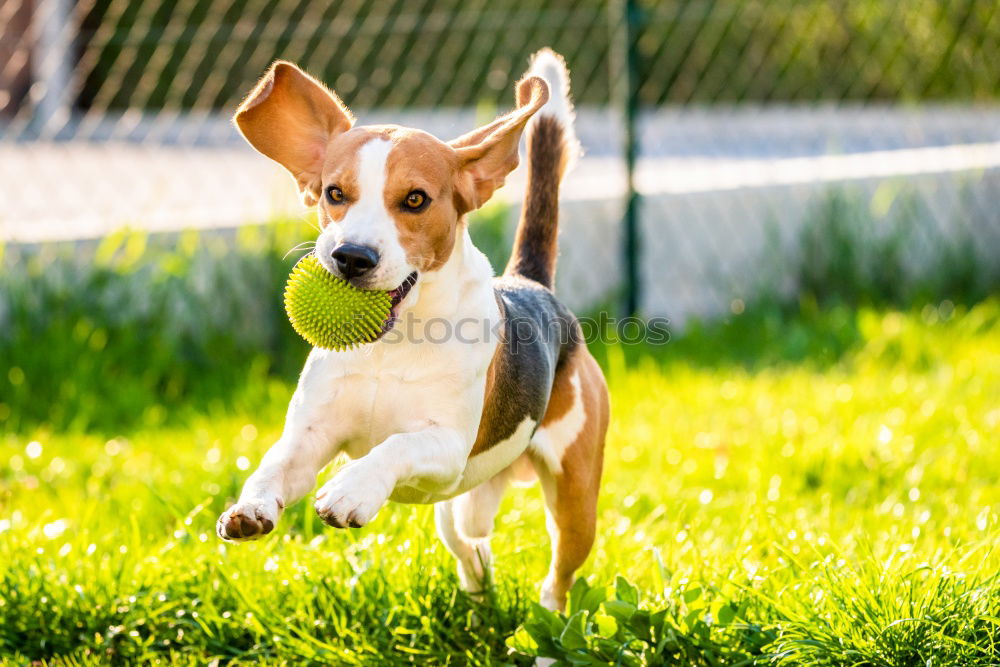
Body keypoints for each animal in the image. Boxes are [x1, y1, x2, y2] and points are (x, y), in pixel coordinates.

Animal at [217, 48, 608, 612]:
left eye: (416, 200)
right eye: (334, 193)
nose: (351, 257)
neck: (389, 346)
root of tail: (532, 284)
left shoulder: (445, 444)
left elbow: (395, 446)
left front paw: (351, 491)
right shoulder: (311, 435)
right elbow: (275, 464)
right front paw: (249, 507)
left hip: (575, 501)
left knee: (557, 576)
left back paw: (547, 626)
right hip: (456, 511)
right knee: (471, 545)